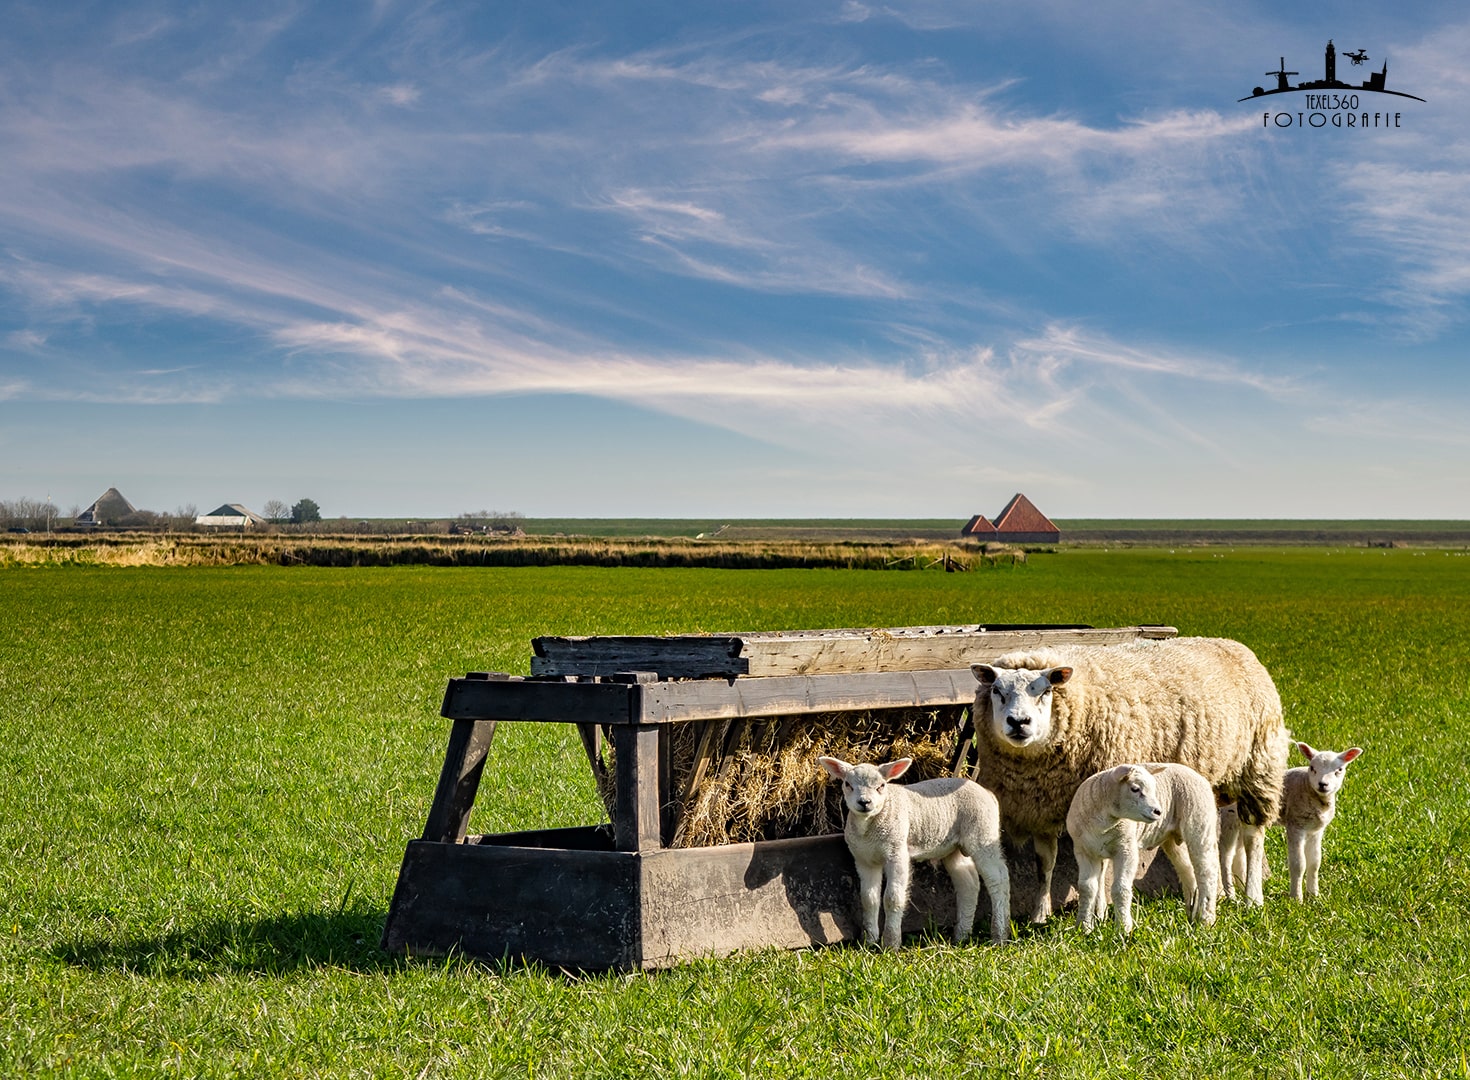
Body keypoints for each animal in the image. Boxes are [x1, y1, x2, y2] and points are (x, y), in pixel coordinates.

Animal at [817, 758, 1011, 952]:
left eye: (881, 786)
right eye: (847, 784)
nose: (864, 802)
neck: (869, 827)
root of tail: (987, 793)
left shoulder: (896, 852)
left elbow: (892, 898)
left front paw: (891, 944)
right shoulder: (864, 860)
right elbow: (868, 899)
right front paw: (869, 942)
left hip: (982, 833)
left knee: (998, 879)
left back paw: (1000, 935)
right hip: (954, 847)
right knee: (968, 884)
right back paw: (961, 936)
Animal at [1064, 758, 1223, 940]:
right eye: (1135, 789)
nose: (1158, 812)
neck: (1104, 823)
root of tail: (1198, 775)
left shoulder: (1126, 848)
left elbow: (1120, 889)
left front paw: (1124, 930)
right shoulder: (1084, 852)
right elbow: (1087, 889)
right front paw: (1083, 929)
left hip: (1199, 822)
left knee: (1206, 871)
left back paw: (1205, 920)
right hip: (1174, 840)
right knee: (1188, 871)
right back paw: (1192, 915)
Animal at [1281, 743, 1358, 905]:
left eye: (1339, 770)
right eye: (1312, 767)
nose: (1323, 784)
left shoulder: (1316, 830)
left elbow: (1315, 862)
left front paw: (1313, 895)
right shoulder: (1295, 824)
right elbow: (1298, 864)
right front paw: (1296, 899)